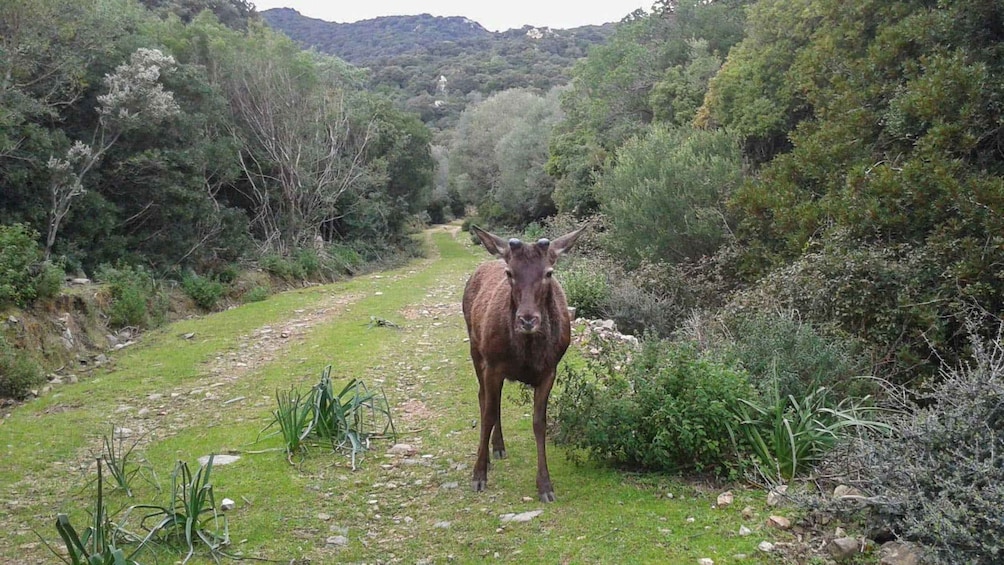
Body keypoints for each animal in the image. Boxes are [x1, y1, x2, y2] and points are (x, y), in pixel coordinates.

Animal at [459, 223, 586, 501]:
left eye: (549, 272)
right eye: (510, 272)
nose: (527, 319)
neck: (526, 354)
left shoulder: (549, 371)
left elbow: (539, 423)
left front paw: (546, 486)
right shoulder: (493, 365)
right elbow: (488, 413)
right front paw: (478, 475)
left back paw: (498, 447)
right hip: (475, 349)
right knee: (484, 398)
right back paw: (490, 454)